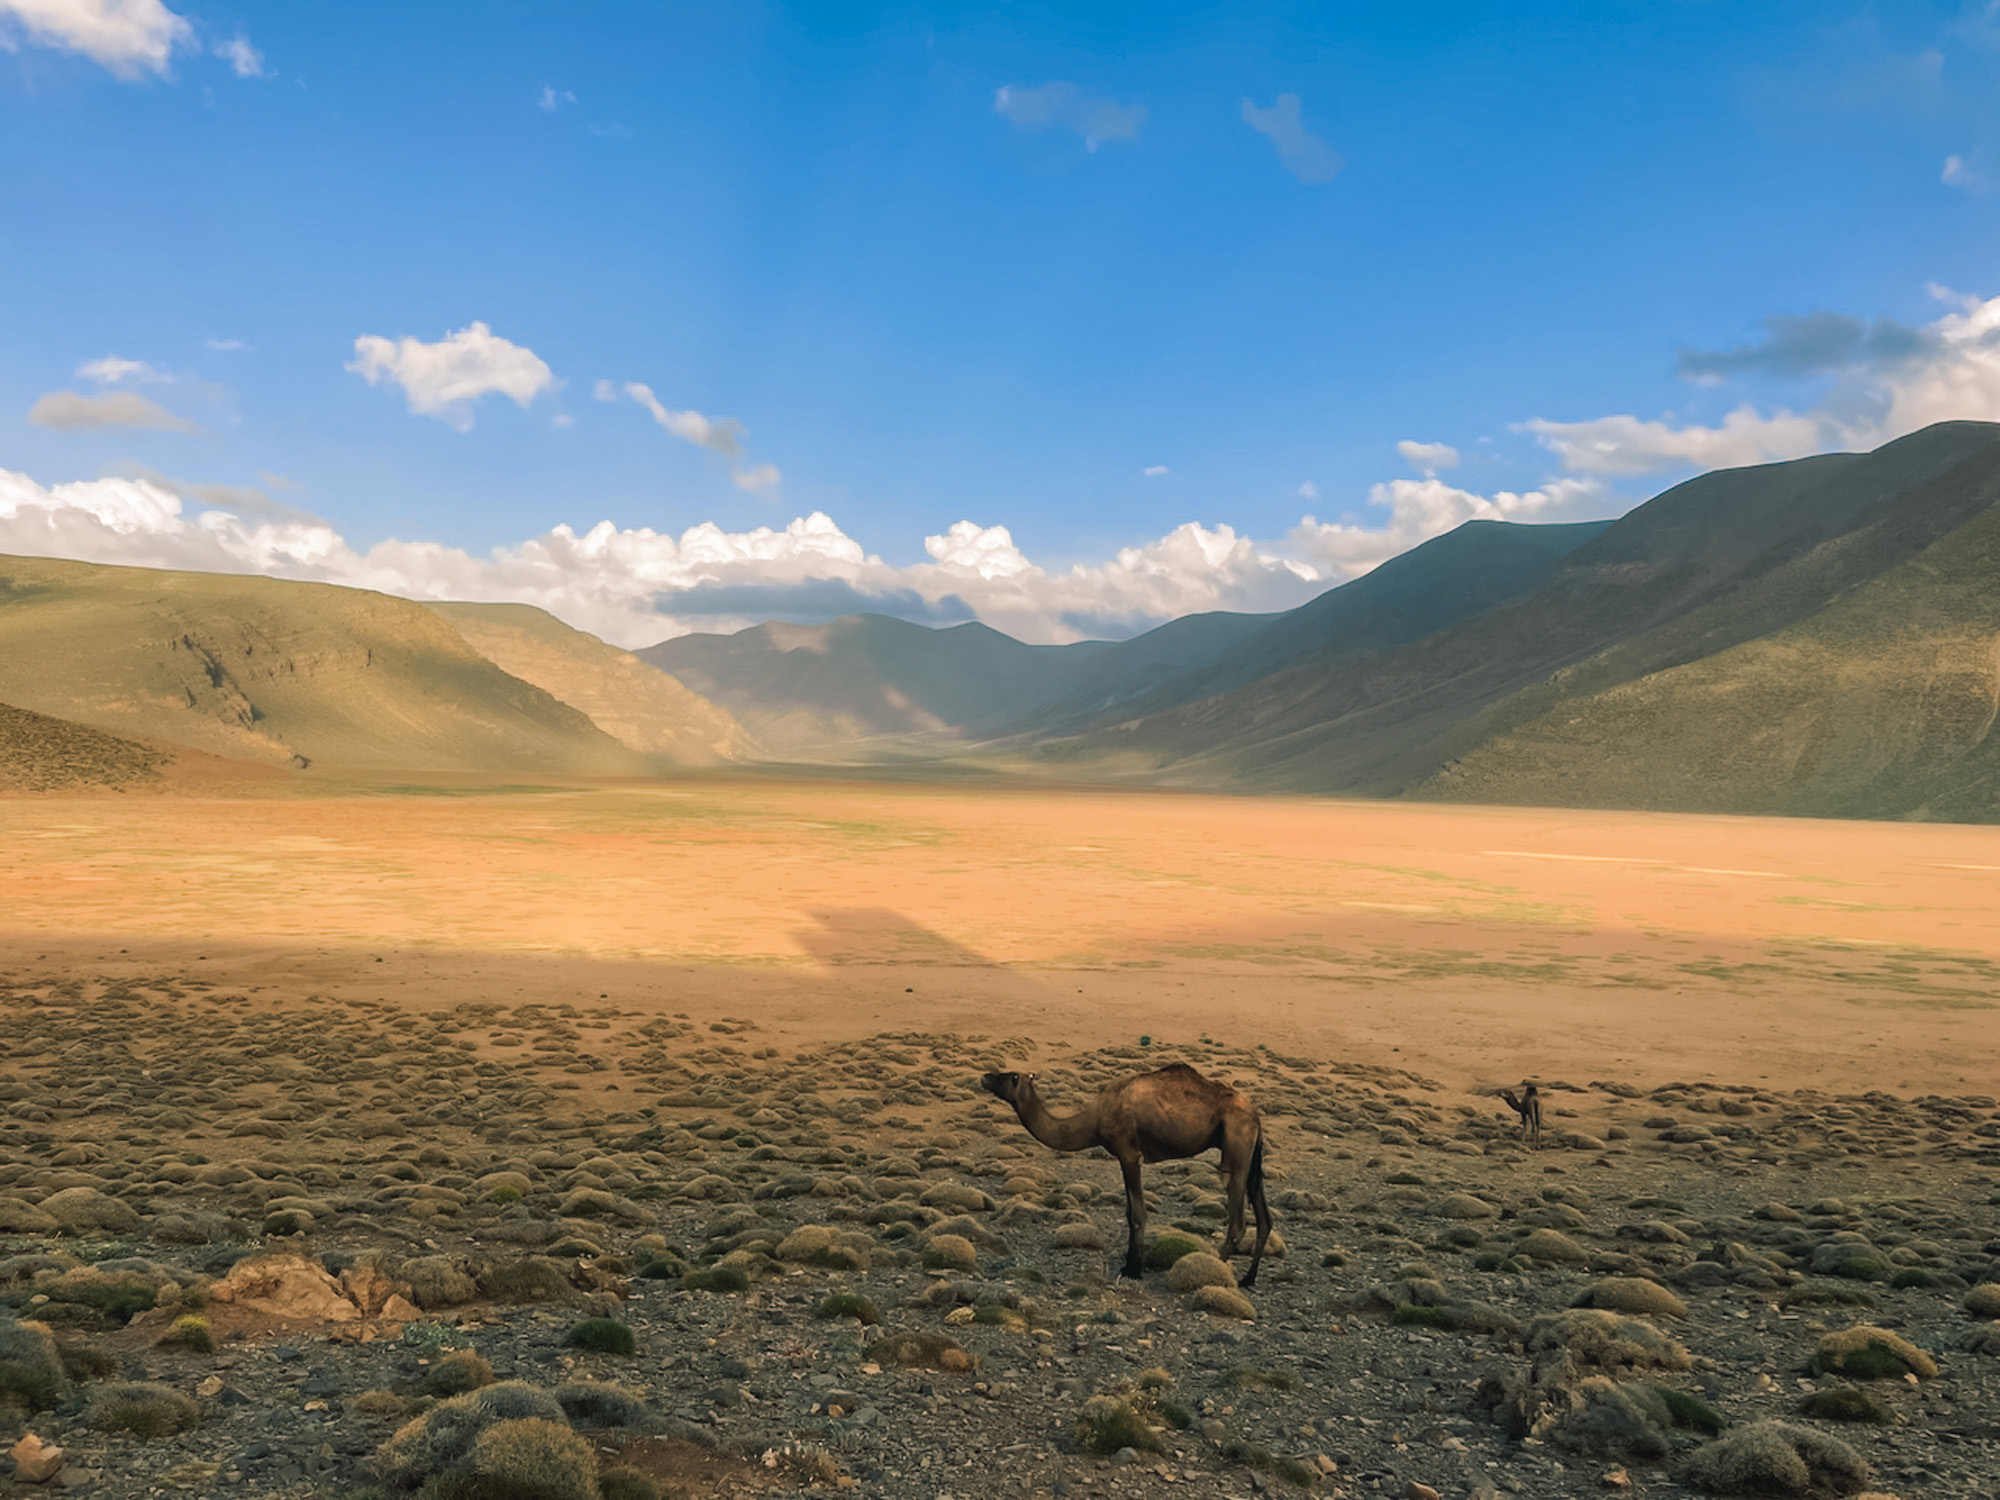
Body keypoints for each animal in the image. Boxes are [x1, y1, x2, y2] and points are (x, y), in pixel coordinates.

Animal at [979, 1063, 1272, 1287]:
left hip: (1236, 1143)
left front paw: (1133, 1269)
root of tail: (1255, 1115)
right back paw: (1248, 1279)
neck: (1095, 1118)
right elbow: (1130, 1211)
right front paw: (1128, 1265)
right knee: (1264, 1218)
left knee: (1237, 1218)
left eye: (1009, 1076)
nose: (984, 1076)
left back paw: (1213, 1270)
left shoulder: (1129, 1154)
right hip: (1251, 1155)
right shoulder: (1123, 1157)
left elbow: (1138, 1214)